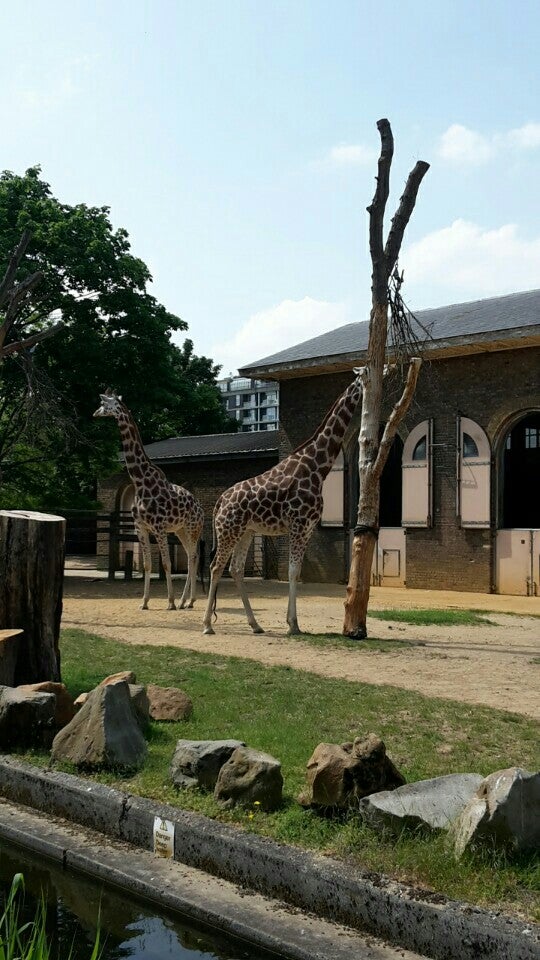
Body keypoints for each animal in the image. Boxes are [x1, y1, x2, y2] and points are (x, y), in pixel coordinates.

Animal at [94, 394, 204, 612]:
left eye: (103, 404)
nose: (94, 413)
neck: (140, 481)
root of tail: (201, 509)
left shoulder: (159, 527)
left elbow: (167, 563)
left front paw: (169, 602)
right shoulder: (140, 527)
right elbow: (147, 565)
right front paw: (144, 602)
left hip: (192, 528)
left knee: (192, 557)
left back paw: (184, 601)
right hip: (180, 530)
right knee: (191, 556)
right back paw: (187, 601)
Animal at [202, 374, 362, 636]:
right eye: (367, 373)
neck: (316, 468)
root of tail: (220, 501)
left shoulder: (307, 529)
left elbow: (295, 571)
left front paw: (291, 622)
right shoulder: (298, 525)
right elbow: (292, 571)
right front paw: (294, 624)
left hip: (246, 532)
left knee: (235, 568)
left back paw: (255, 624)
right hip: (229, 531)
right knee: (216, 567)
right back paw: (207, 625)